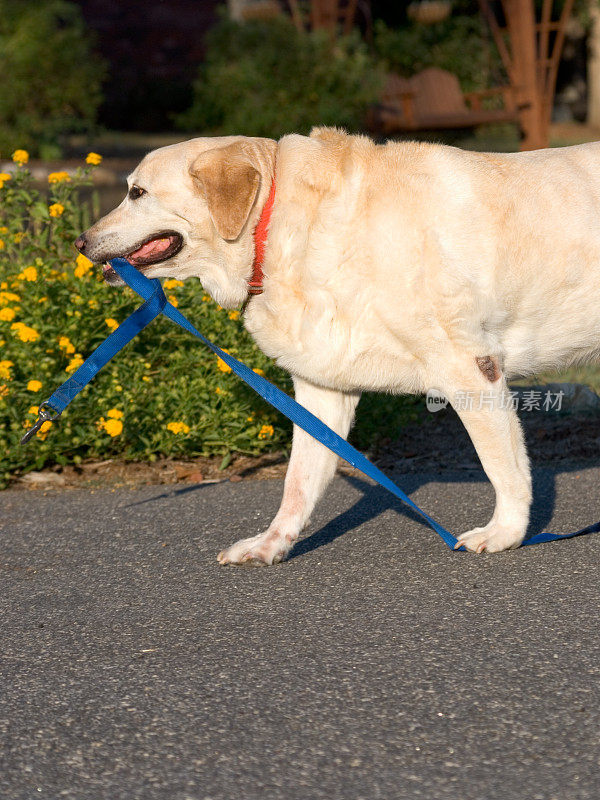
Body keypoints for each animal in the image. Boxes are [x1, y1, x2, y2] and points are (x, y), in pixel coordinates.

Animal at [76, 126, 600, 564]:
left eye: (137, 192)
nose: (80, 243)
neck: (276, 225)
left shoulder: (470, 368)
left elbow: (503, 466)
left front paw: (505, 533)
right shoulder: (322, 389)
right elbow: (298, 482)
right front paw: (272, 543)